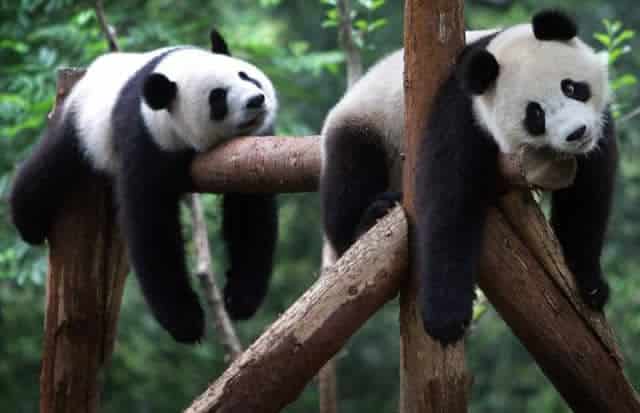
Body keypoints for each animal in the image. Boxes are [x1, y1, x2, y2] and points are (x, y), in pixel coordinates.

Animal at [9, 29, 279, 344]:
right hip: (82, 124)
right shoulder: (145, 138)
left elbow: (250, 213)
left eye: (245, 76)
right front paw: (186, 322)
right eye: (218, 98)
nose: (256, 100)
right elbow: (151, 224)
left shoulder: (250, 152)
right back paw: (28, 225)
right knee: (47, 168)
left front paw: (240, 299)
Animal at [320, 10, 617, 345]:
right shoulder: (461, 114)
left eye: (571, 87)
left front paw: (590, 284)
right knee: (348, 178)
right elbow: (448, 202)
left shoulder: (597, 130)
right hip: (367, 123)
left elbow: (589, 193)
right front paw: (446, 319)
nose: (577, 133)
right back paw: (372, 216)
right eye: (535, 115)